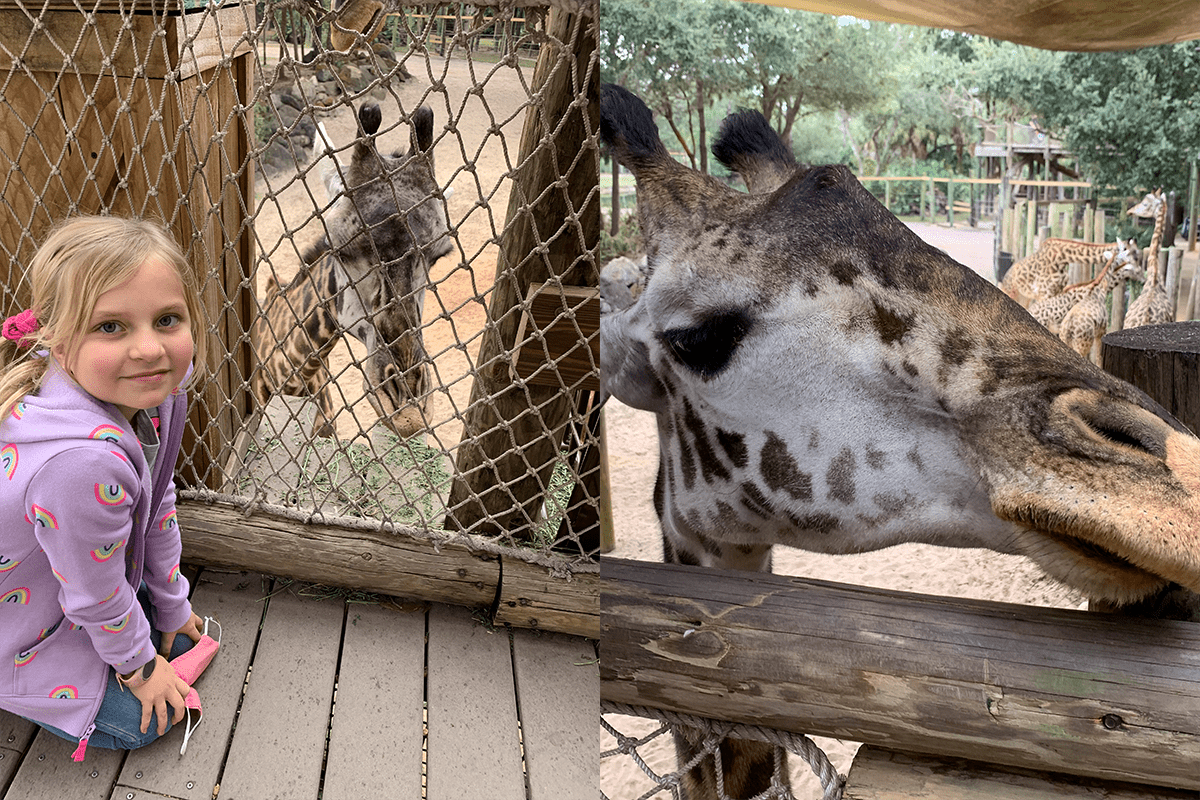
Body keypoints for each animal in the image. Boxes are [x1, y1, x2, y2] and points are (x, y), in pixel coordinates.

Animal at [998, 236, 1137, 309]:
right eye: (1130, 251)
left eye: (1136, 250)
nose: (1137, 266)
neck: (1062, 258)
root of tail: (1004, 279)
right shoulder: (1044, 293)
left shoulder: (1057, 290)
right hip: (1012, 293)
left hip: (1024, 297)